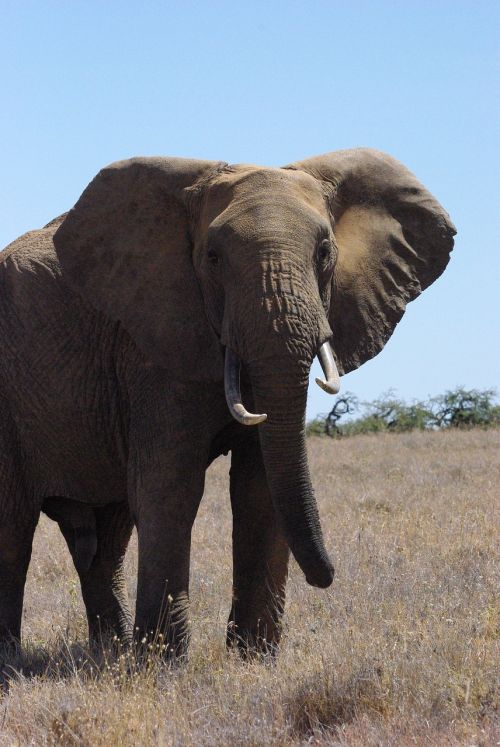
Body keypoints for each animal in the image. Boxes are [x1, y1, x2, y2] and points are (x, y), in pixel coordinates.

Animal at [0, 149, 456, 656]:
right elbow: (170, 485)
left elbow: (260, 487)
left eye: (323, 252)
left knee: (106, 538)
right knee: (13, 531)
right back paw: (16, 662)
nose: (328, 575)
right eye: (213, 258)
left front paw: (253, 658)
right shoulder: (152, 346)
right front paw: (164, 662)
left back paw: (110, 653)